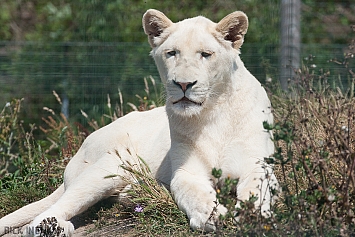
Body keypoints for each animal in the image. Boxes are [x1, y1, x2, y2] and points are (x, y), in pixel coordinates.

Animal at [0, 8, 278, 235]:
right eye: (172, 53)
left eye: (205, 54)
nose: (183, 84)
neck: (213, 112)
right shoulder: (186, 171)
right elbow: (195, 193)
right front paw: (213, 216)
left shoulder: (259, 163)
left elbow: (255, 190)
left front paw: (251, 215)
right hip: (111, 165)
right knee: (41, 217)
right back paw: (52, 227)